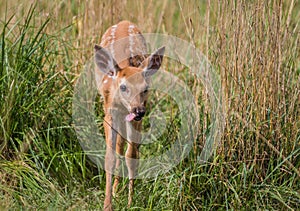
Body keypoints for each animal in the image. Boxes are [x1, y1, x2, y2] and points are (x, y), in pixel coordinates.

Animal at [94, 20, 164, 211]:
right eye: (123, 87)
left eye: (145, 88)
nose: (139, 111)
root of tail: (124, 22)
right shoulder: (109, 112)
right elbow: (109, 157)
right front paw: (107, 204)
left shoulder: (136, 118)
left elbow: (131, 155)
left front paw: (130, 202)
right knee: (119, 145)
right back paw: (116, 190)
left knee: (125, 146)